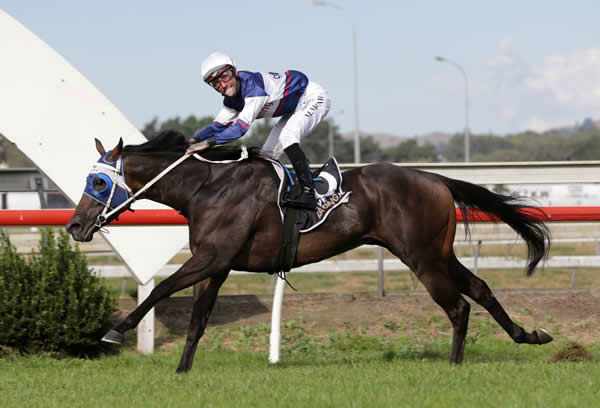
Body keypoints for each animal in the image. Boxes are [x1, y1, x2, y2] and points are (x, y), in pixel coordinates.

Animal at [65, 131, 552, 372]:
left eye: (99, 182)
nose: (74, 226)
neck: (208, 187)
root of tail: (436, 178)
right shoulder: (216, 265)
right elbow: (197, 321)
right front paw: (182, 371)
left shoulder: (212, 257)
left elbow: (160, 289)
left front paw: (116, 331)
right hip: (437, 252)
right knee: (481, 288)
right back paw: (528, 335)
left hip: (422, 257)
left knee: (458, 307)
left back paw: (454, 365)